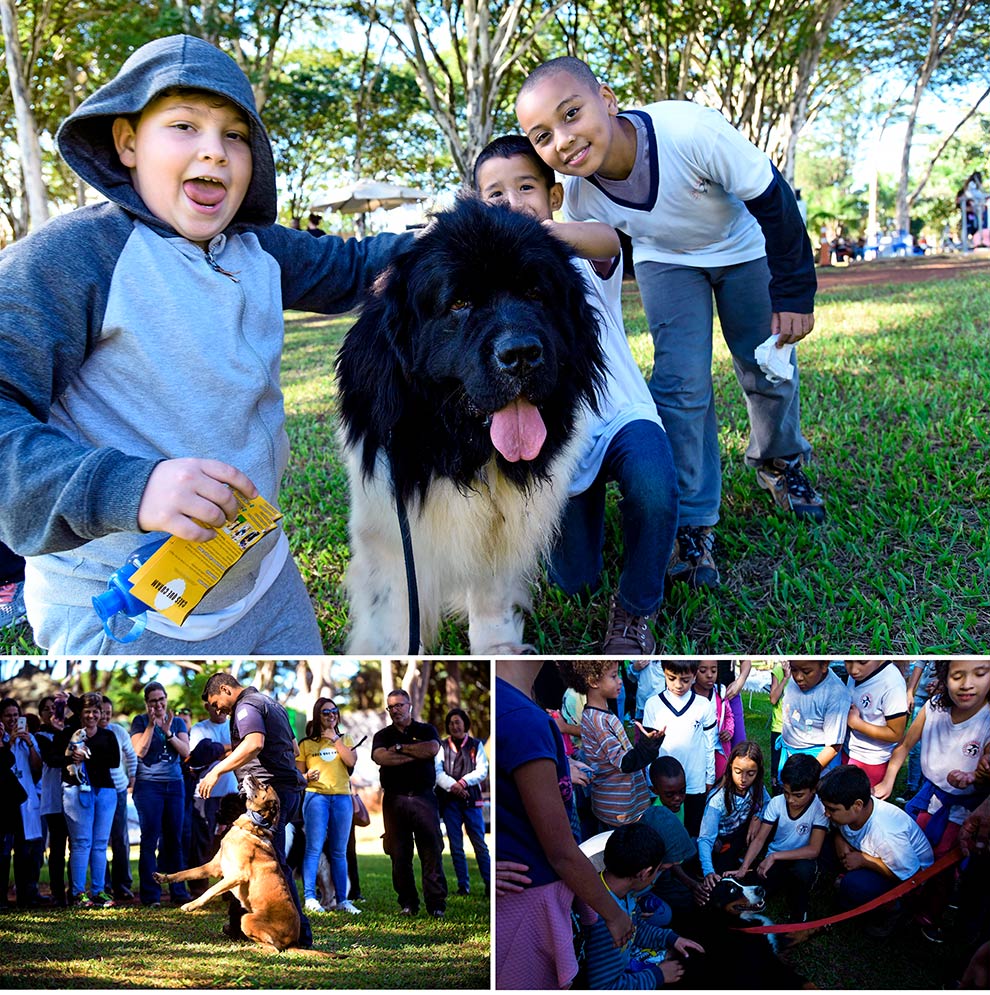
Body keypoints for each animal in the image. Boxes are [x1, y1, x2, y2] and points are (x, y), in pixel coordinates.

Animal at [338, 197, 608, 656]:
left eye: (536, 294)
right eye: (459, 304)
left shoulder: (500, 526)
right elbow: (393, 616)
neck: (463, 451)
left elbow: (490, 594)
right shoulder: (388, 531)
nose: (521, 353)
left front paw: (497, 650)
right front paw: (396, 656)